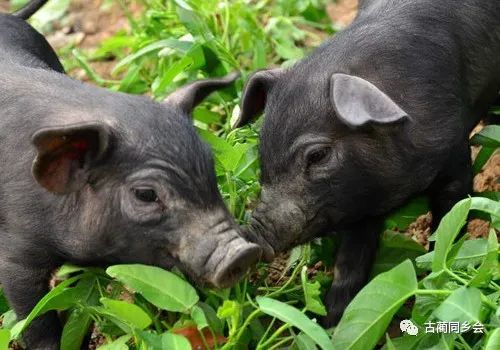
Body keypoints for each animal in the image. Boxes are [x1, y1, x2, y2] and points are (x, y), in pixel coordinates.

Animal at [236, 0, 500, 326]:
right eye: (262, 153)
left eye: (317, 155)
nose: (251, 233)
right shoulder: (357, 201)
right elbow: (350, 262)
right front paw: (330, 322)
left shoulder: (455, 159)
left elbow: (447, 225)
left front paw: (429, 284)